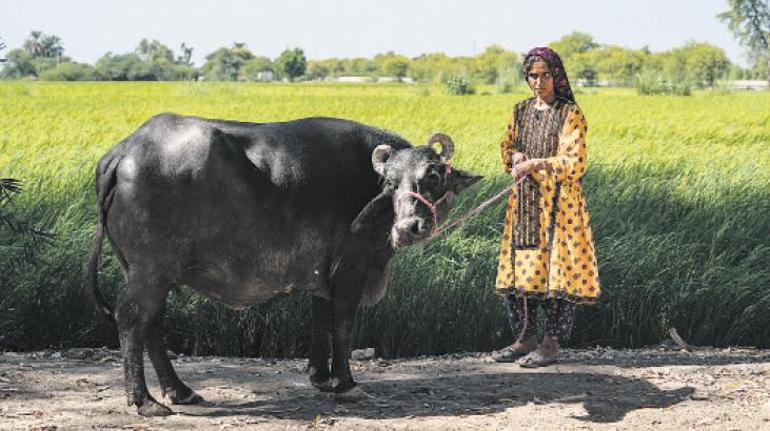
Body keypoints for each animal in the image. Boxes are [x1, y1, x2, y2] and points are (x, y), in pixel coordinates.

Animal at [90, 113, 480, 416]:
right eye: (390, 182)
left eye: (432, 176)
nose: (409, 227)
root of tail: (125, 152)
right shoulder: (351, 271)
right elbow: (342, 325)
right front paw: (346, 383)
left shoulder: (323, 274)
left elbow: (320, 320)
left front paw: (320, 377)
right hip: (150, 272)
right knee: (132, 319)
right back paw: (144, 401)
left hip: (150, 273)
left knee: (151, 324)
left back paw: (180, 391)